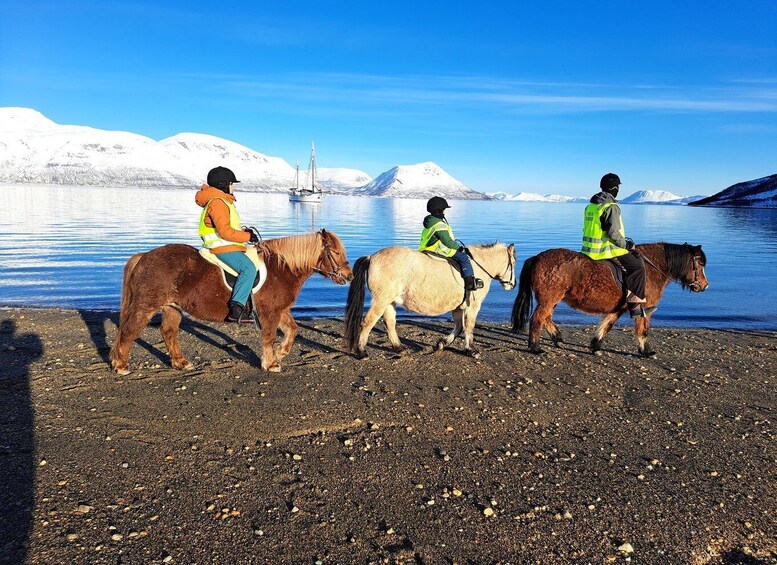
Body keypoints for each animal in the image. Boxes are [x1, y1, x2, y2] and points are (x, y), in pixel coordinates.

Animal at [109, 229, 352, 374]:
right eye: (336, 252)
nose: (349, 276)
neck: (282, 268)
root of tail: (144, 256)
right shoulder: (270, 312)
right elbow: (269, 337)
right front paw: (271, 362)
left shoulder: (280, 310)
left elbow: (292, 330)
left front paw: (280, 353)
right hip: (146, 306)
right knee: (129, 331)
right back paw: (121, 365)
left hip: (172, 308)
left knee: (168, 332)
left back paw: (181, 362)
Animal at [344, 241, 516, 356]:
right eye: (513, 263)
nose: (513, 285)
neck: (477, 265)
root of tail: (371, 257)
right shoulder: (473, 306)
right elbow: (469, 327)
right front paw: (470, 350)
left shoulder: (458, 307)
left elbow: (459, 326)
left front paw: (442, 343)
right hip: (381, 300)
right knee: (367, 322)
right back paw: (361, 351)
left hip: (389, 301)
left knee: (390, 323)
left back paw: (399, 347)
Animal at [510, 242, 708, 356]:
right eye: (699, 264)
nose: (705, 286)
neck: (651, 268)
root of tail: (537, 258)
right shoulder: (645, 308)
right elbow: (643, 330)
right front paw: (646, 351)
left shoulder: (620, 308)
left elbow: (607, 324)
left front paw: (596, 345)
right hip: (549, 299)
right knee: (538, 319)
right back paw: (535, 347)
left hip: (552, 299)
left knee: (546, 318)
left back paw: (557, 338)